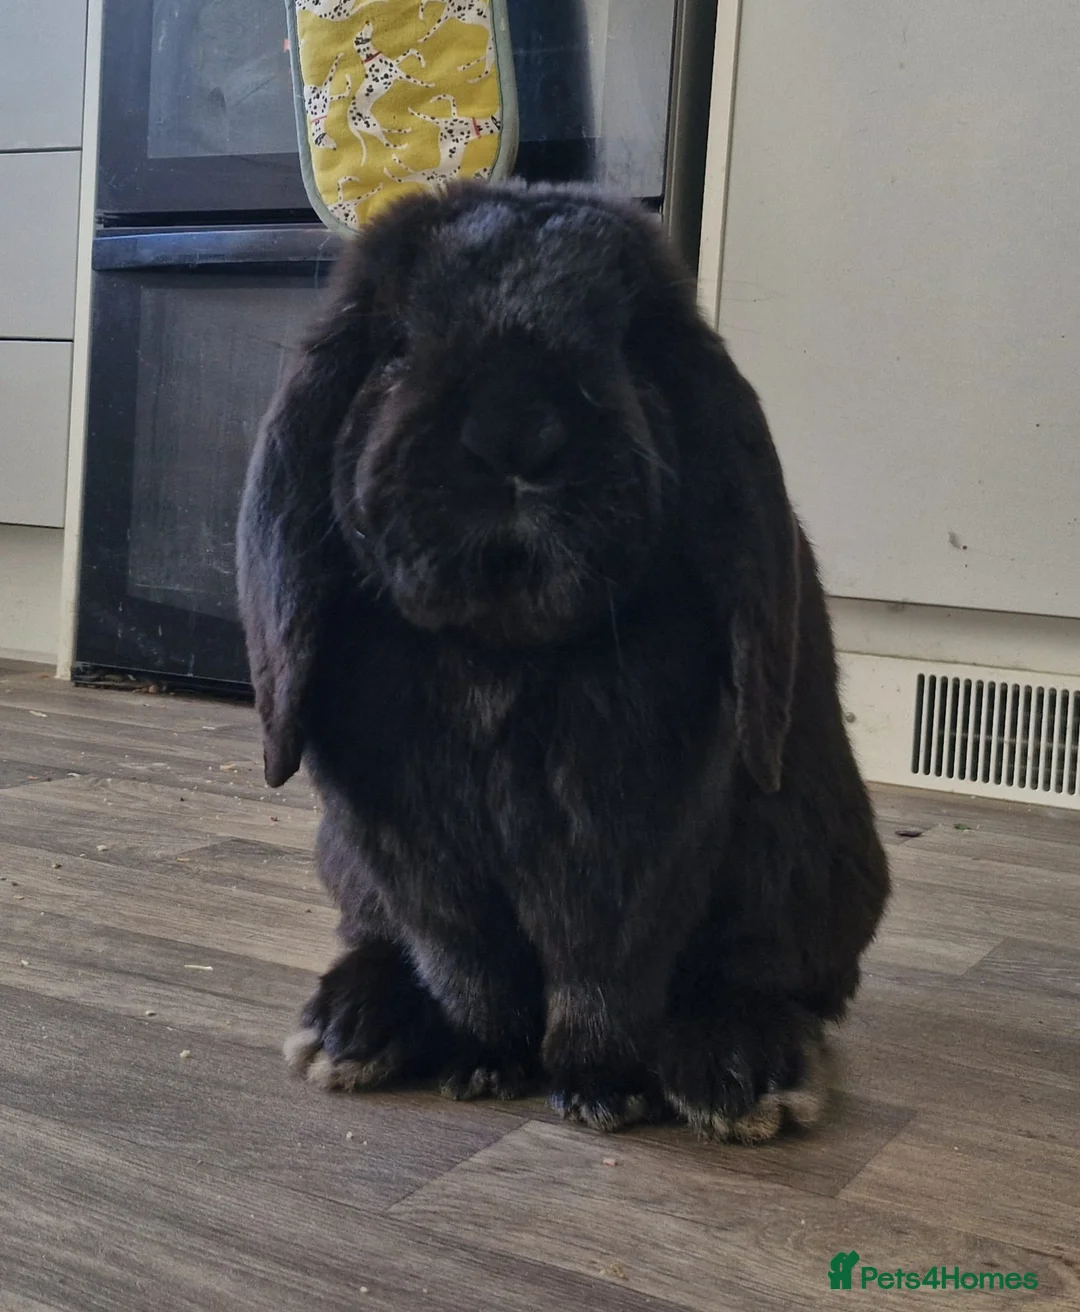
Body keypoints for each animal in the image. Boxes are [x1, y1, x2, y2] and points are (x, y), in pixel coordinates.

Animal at [236, 180, 890, 1141]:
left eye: (629, 345)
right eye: (393, 346)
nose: (516, 433)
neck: (505, 651)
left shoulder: (635, 846)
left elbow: (602, 972)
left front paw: (599, 1091)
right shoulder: (416, 858)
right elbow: (467, 964)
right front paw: (482, 1065)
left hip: (808, 871)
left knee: (770, 979)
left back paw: (739, 1075)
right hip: (350, 870)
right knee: (379, 944)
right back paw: (352, 1028)